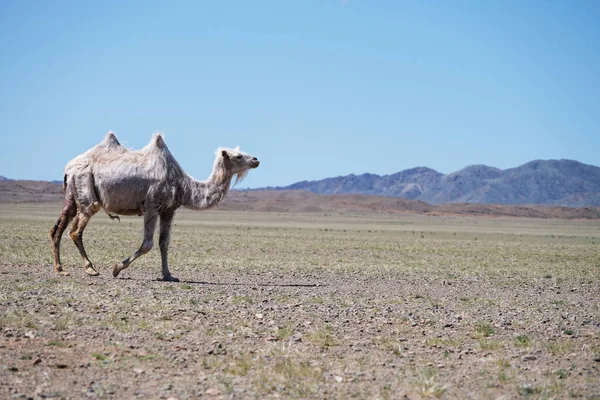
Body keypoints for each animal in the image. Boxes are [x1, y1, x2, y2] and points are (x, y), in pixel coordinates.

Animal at [49, 131, 260, 282]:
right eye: (239, 156)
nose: (256, 159)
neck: (182, 185)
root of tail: (69, 167)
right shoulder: (151, 205)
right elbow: (148, 243)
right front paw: (117, 268)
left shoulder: (169, 209)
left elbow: (163, 243)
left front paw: (168, 275)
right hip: (85, 186)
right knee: (76, 230)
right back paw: (90, 269)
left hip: (72, 194)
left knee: (58, 228)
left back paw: (60, 269)